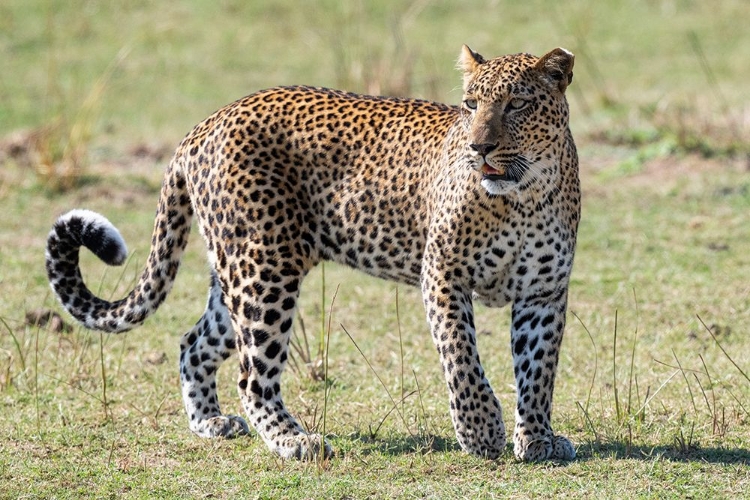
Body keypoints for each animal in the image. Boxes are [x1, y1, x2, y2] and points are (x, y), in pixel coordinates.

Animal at [45, 46, 580, 460]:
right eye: (470, 104)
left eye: (517, 104)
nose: (479, 147)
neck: (524, 195)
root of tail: (204, 125)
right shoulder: (443, 274)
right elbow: (461, 354)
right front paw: (480, 430)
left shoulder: (544, 292)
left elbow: (538, 370)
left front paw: (538, 438)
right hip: (266, 268)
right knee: (252, 375)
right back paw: (294, 442)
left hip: (237, 272)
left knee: (194, 343)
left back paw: (211, 425)